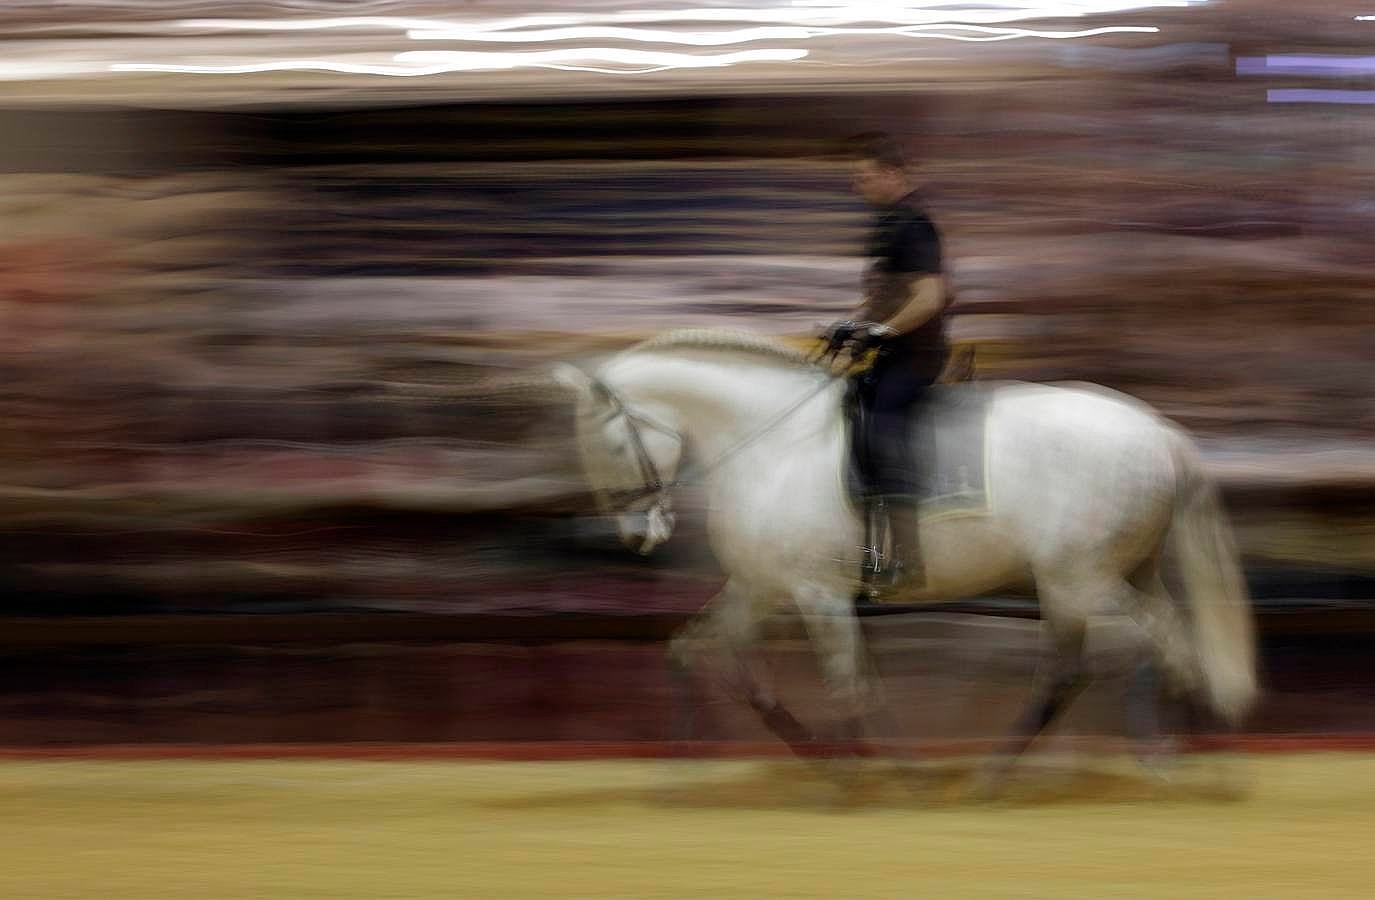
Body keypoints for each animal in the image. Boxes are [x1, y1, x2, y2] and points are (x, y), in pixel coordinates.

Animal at [550, 329, 1259, 774]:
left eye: (609, 445)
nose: (638, 534)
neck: (770, 443)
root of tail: (1156, 431)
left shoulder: (817, 594)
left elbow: (847, 682)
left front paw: (853, 773)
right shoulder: (761, 588)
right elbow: (706, 657)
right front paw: (690, 761)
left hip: (1081, 577)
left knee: (1156, 644)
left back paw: (1176, 764)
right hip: (1106, 576)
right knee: (1101, 659)